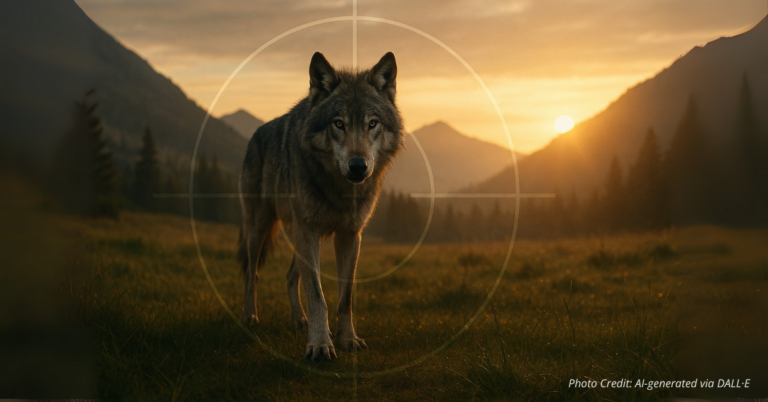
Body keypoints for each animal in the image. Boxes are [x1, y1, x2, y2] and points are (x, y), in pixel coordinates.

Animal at [238, 52, 404, 361]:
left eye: (372, 123)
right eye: (338, 124)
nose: (358, 166)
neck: (340, 190)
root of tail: (256, 134)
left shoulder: (349, 235)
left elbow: (344, 297)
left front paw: (347, 339)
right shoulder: (308, 230)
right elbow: (317, 294)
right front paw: (320, 345)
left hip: (300, 236)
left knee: (291, 275)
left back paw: (297, 320)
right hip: (259, 229)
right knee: (252, 272)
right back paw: (249, 316)